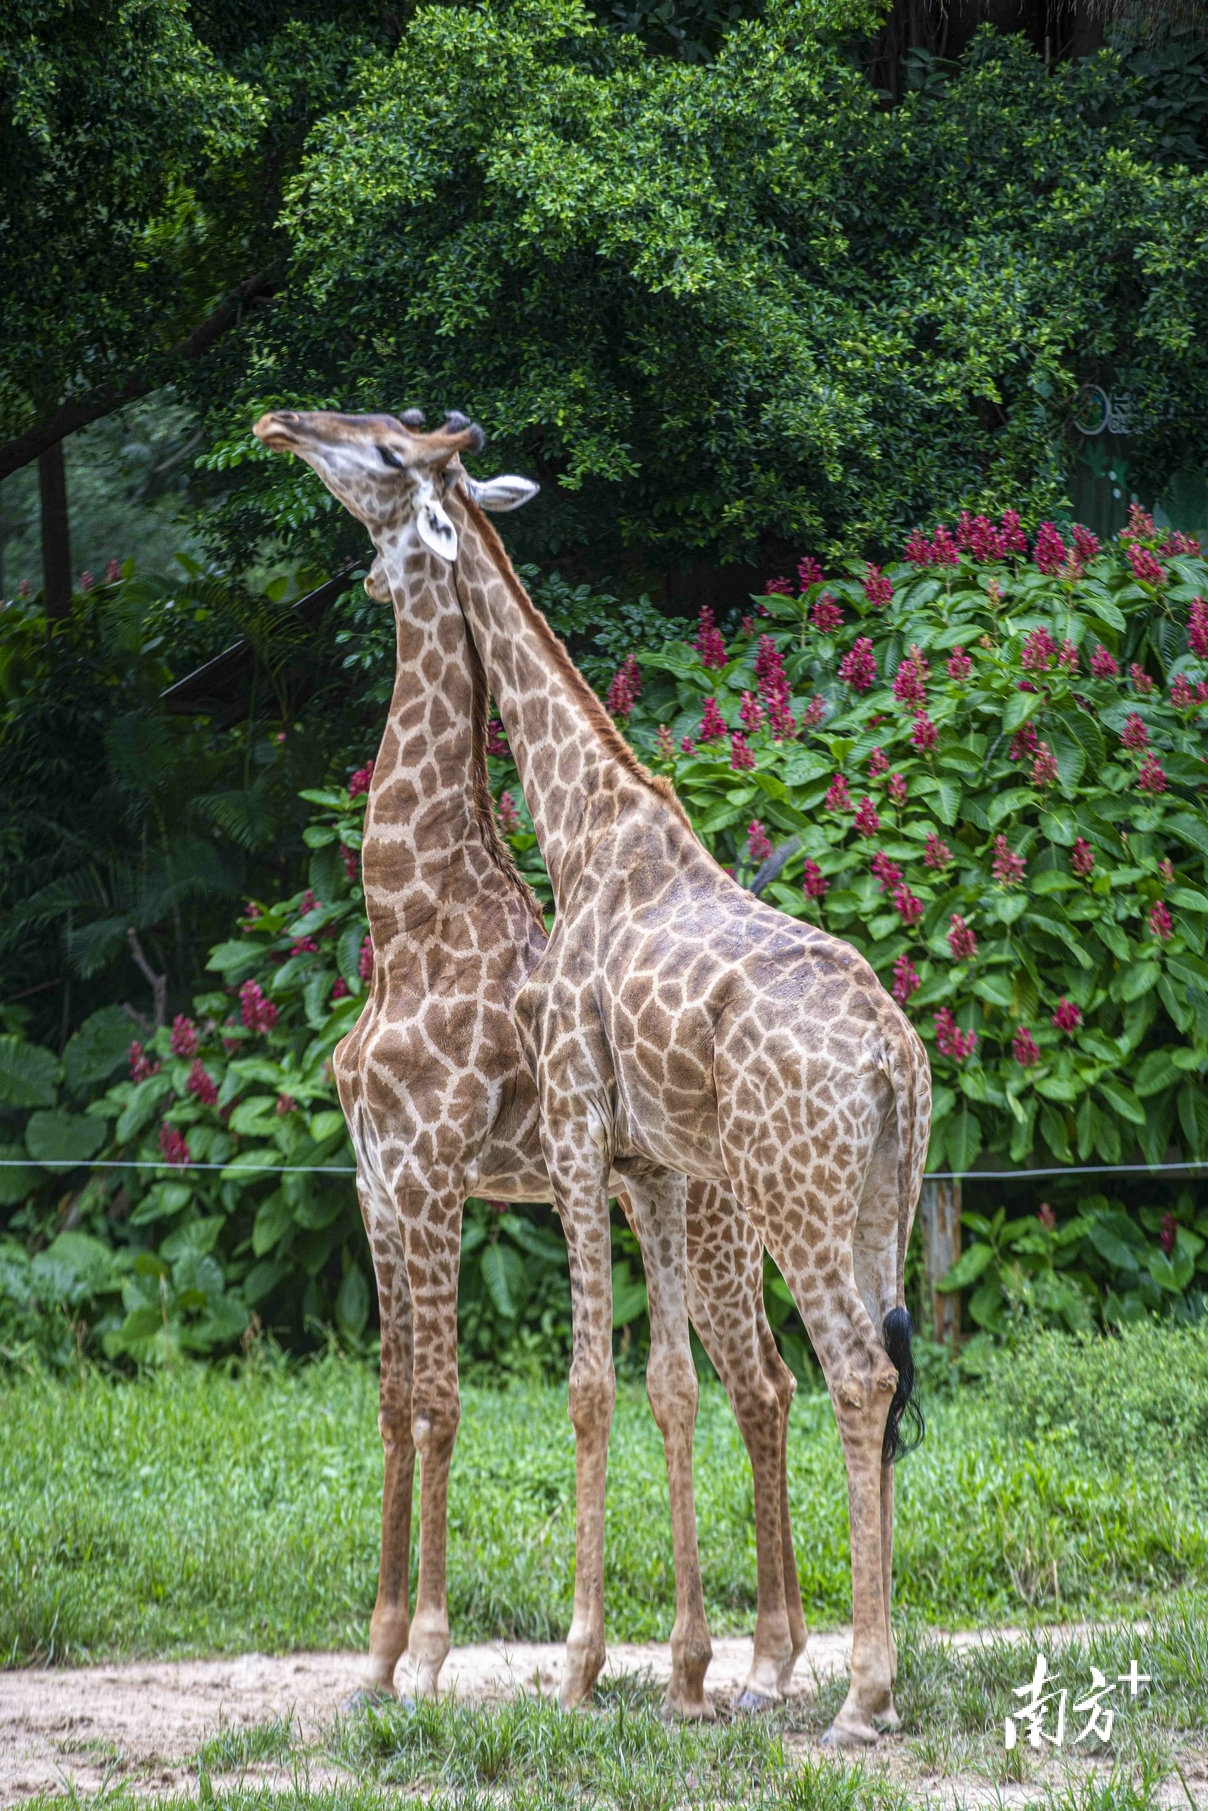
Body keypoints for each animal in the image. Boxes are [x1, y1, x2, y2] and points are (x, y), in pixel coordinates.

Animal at [255, 407, 934, 1738]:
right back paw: (793, 1670)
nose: (278, 421)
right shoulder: (485, 1173)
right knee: (794, 1382)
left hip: (781, 1203)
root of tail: (897, 1057)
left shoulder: (514, 1148)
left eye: (379, 447)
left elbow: (544, 1388)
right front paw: (666, 1667)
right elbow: (618, 1386)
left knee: (838, 1373)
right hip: (865, 1197)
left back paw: (853, 1690)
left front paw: (520, 1663)